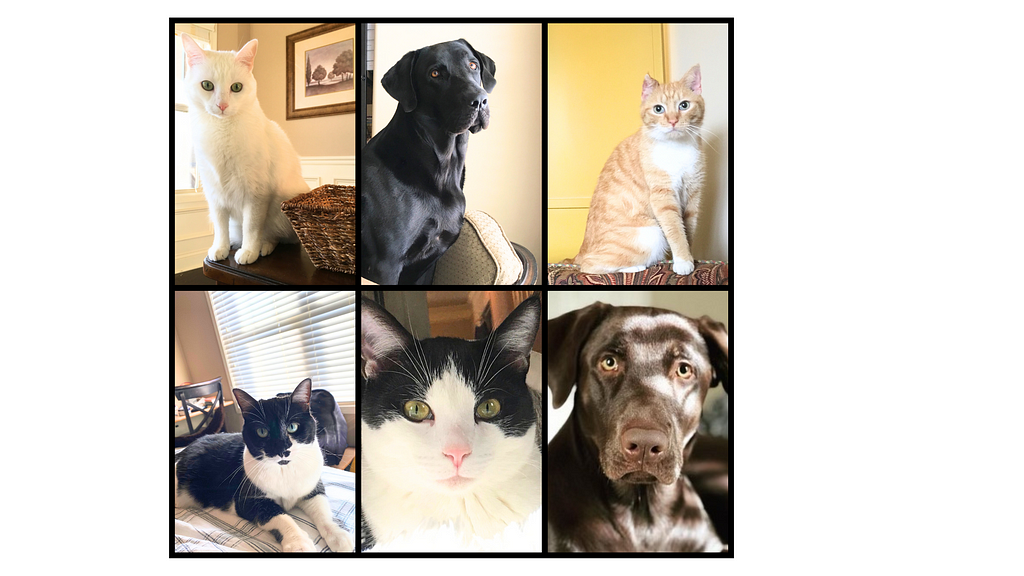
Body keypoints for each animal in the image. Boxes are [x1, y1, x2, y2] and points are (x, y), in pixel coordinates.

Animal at [174, 379, 354, 549]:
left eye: (292, 427)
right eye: (262, 432)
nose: (281, 449)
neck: (285, 469)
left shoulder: (311, 487)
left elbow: (322, 509)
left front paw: (338, 535)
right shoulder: (246, 501)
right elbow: (279, 516)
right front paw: (298, 542)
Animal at [180, 36, 307, 266]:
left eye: (236, 87)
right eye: (207, 85)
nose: (222, 105)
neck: (221, 130)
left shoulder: (256, 194)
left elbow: (252, 227)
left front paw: (249, 251)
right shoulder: (215, 195)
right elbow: (220, 227)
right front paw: (220, 248)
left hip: (280, 213)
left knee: (276, 237)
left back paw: (262, 247)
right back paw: (233, 243)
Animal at [569, 63, 704, 274]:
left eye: (684, 105)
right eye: (658, 109)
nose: (673, 121)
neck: (677, 148)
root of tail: (580, 252)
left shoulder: (692, 194)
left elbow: (687, 230)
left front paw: (689, 257)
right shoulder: (662, 196)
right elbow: (675, 230)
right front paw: (683, 261)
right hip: (651, 232)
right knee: (589, 266)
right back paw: (636, 267)